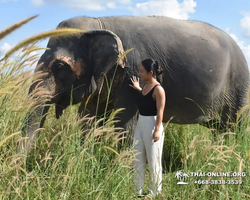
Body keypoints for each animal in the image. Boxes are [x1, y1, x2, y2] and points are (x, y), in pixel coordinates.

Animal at [18, 15, 249, 152]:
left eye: (59, 66)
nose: (23, 167)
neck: (99, 23)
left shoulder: (132, 70)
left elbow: (124, 121)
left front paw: (120, 166)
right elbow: (89, 118)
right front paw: (86, 155)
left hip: (240, 87)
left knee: (234, 127)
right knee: (220, 130)